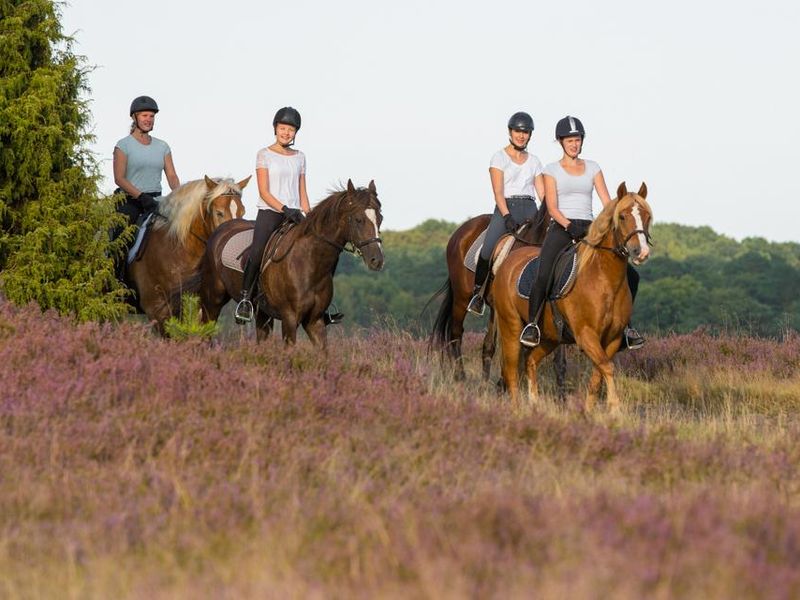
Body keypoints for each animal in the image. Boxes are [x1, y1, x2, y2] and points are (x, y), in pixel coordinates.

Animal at [193, 178, 382, 346]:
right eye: (358, 219)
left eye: (380, 218)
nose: (377, 260)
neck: (310, 263)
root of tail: (220, 230)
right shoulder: (290, 318)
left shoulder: (315, 321)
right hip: (212, 302)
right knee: (205, 336)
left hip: (262, 314)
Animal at [490, 180, 652, 410]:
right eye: (622, 216)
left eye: (646, 216)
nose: (641, 252)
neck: (603, 278)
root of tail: (507, 261)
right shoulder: (586, 335)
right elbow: (607, 367)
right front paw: (615, 409)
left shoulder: (612, 339)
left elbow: (598, 374)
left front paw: (590, 410)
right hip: (510, 327)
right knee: (511, 371)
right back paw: (518, 410)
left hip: (550, 337)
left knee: (530, 361)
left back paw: (535, 404)